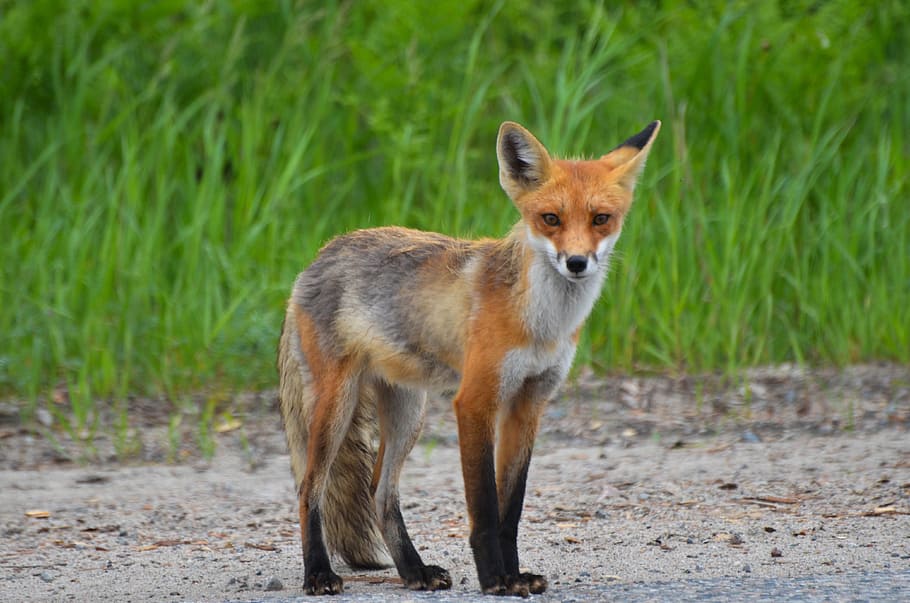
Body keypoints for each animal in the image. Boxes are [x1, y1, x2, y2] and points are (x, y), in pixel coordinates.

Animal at [277, 118, 660, 596]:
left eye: (600, 219)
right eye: (550, 219)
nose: (576, 262)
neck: (541, 324)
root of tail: (315, 258)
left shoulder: (529, 403)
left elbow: (511, 509)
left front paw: (515, 575)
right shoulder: (476, 400)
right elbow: (485, 507)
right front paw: (495, 578)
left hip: (409, 410)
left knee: (380, 490)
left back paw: (414, 570)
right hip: (337, 403)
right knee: (309, 487)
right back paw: (319, 573)